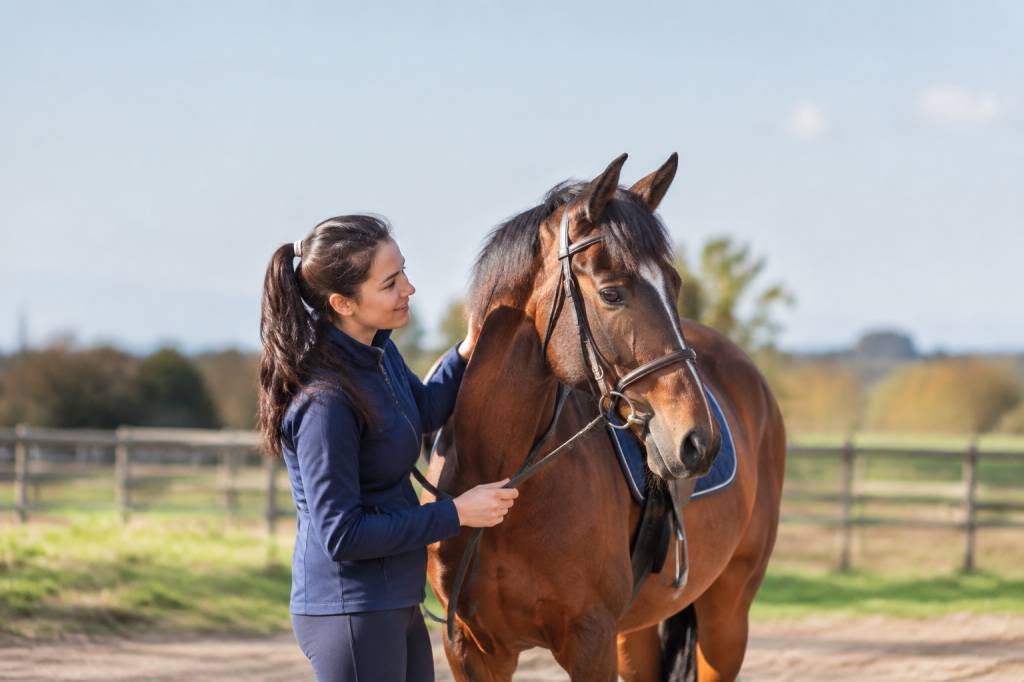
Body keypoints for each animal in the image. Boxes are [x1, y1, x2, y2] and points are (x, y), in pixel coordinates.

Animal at [419, 153, 786, 681]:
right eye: (612, 294)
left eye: (675, 284)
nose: (698, 442)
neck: (504, 478)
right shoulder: (470, 649)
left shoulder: (590, 642)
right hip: (636, 633)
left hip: (727, 615)